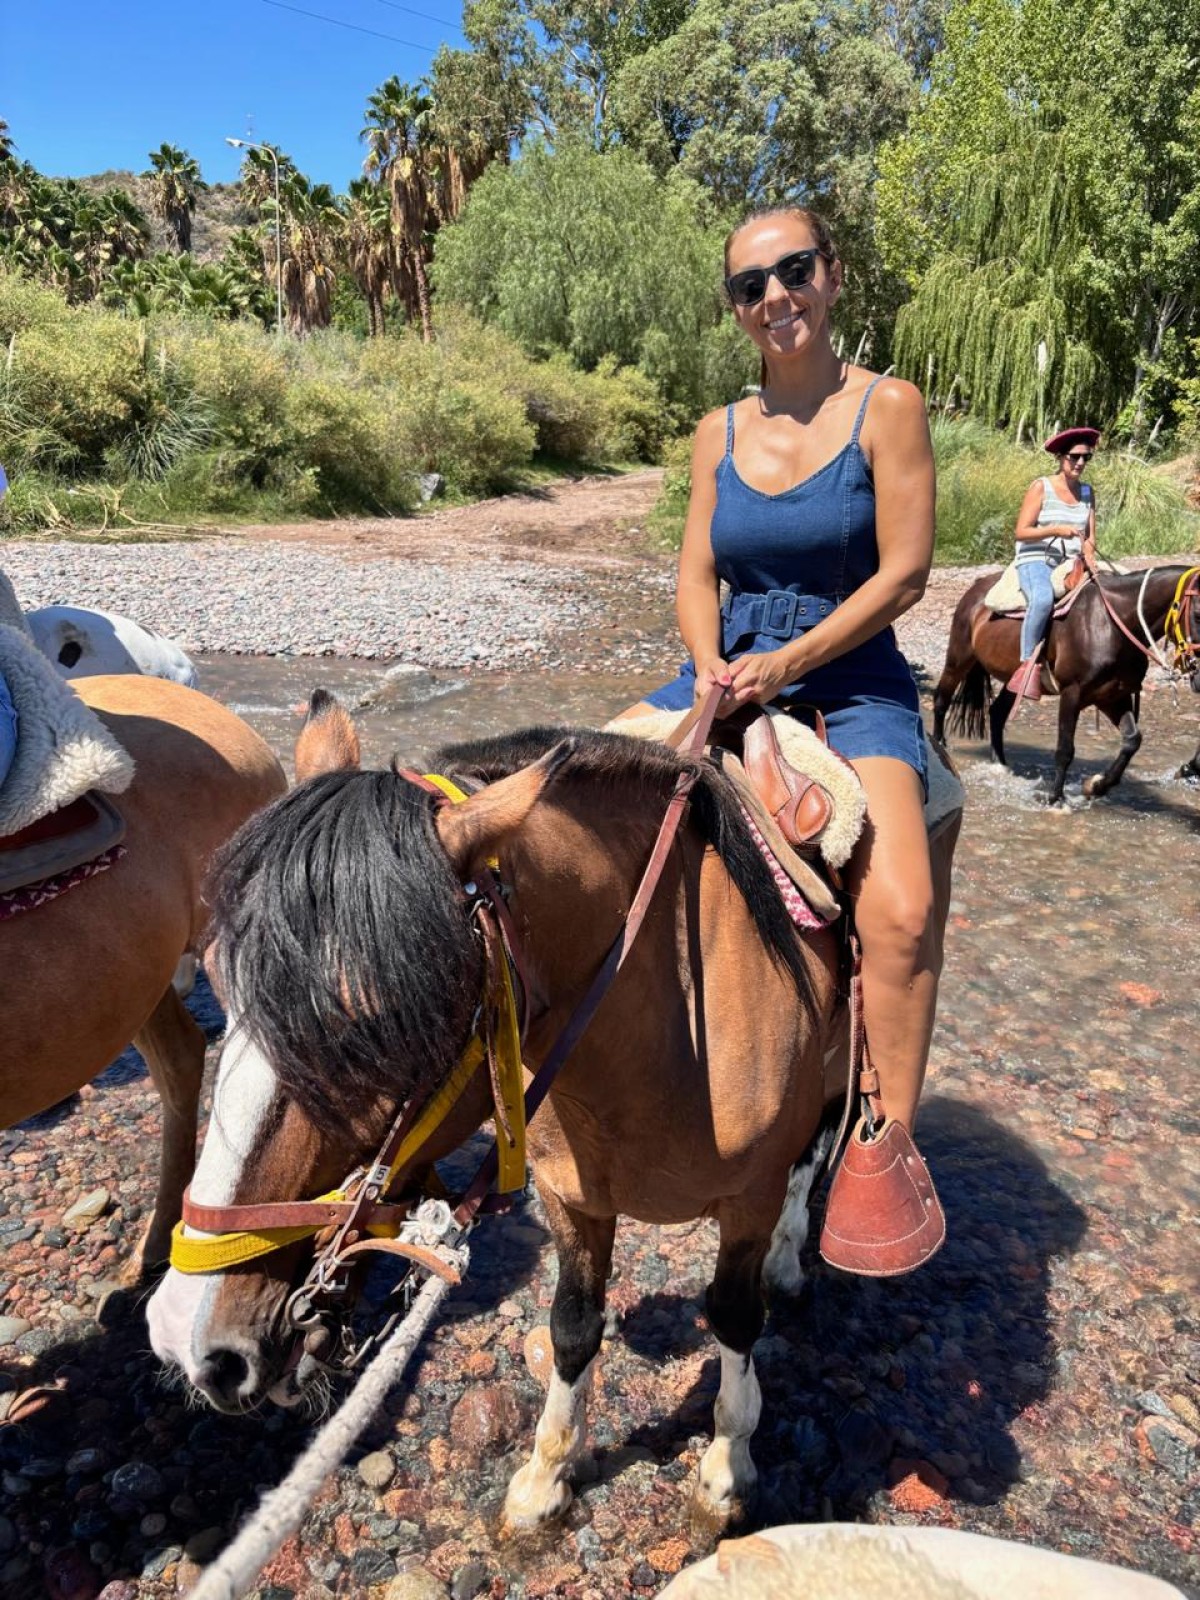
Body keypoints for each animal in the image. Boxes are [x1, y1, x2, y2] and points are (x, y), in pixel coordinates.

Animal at [147, 698, 961, 1530]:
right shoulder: (571, 1197)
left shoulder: (748, 1197)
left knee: (820, 1144)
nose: (188, 1338)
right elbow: (572, 1326)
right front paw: (547, 1478)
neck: (670, 1024)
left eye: (370, 1025)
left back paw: (792, 1254)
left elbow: (735, 1314)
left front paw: (727, 1468)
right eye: (220, 984)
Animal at [932, 565, 1200, 805]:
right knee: (941, 699)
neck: (1112, 625)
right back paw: (940, 748)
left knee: (996, 713)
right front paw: (1055, 798)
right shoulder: (1072, 693)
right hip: (959, 659)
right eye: (1197, 614)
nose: (1197, 675)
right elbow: (1065, 750)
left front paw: (1096, 786)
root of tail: (977, 587)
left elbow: (1133, 740)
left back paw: (1001, 764)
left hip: (1014, 680)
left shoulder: (1113, 697)